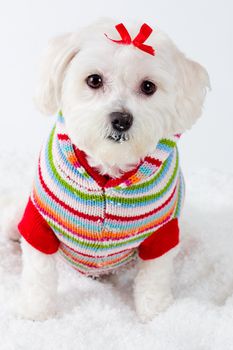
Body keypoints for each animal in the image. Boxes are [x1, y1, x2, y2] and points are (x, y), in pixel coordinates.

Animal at [16, 17, 209, 322]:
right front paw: (35, 313)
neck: (108, 170)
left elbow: (154, 279)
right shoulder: (39, 224)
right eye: (94, 80)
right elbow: (39, 274)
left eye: (148, 87)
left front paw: (156, 314)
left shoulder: (162, 235)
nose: (121, 119)